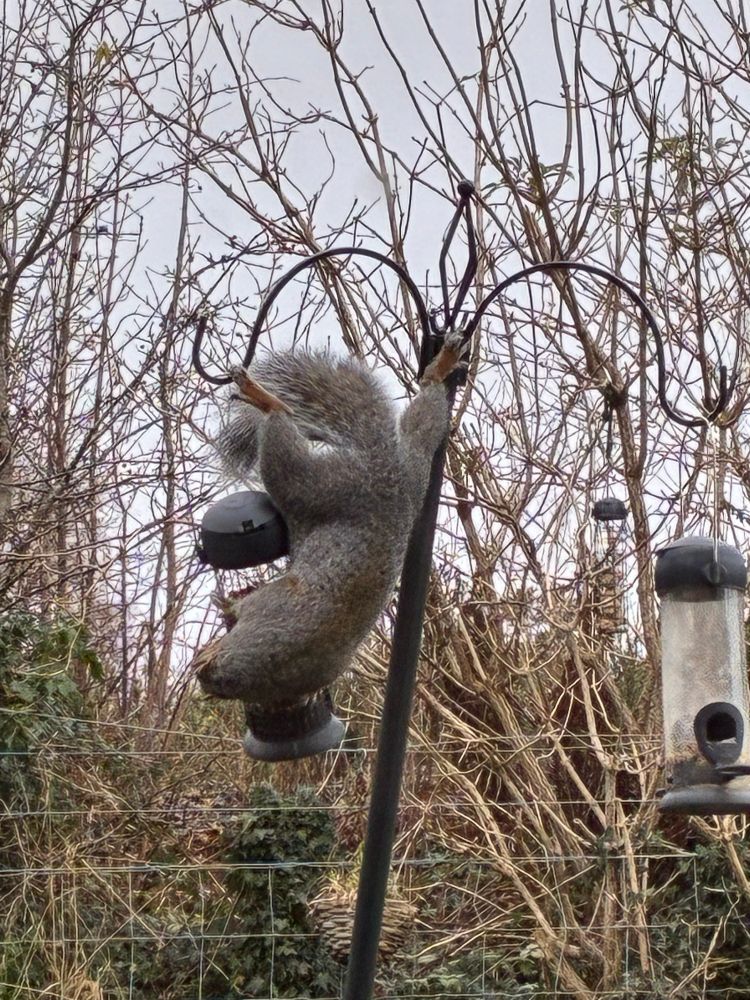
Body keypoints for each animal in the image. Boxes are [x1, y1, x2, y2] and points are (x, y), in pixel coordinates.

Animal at [193, 333, 466, 709]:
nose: (200, 671)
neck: (277, 663)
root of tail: (380, 469)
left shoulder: (270, 609)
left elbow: (248, 605)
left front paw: (229, 606)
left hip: (303, 481)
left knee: (281, 427)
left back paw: (263, 398)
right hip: (417, 471)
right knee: (425, 421)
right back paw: (440, 370)